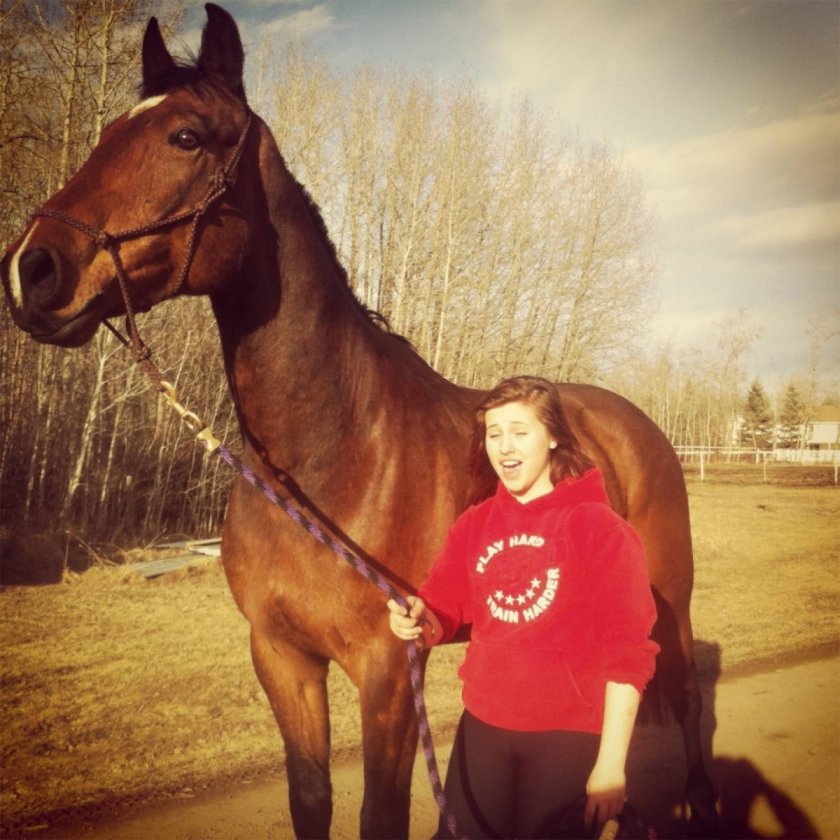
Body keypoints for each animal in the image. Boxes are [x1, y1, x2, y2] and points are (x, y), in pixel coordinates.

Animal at [3, 4, 720, 832]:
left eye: (184, 136)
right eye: (108, 131)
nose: (31, 269)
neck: (331, 456)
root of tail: (637, 424)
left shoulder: (388, 672)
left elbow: (381, 812)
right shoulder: (282, 657)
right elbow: (311, 797)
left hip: (667, 607)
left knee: (685, 704)